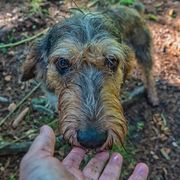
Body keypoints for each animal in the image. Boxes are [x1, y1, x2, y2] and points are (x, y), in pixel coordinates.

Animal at [20, 5, 159, 150]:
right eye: (62, 62)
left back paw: (153, 95)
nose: (92, 139)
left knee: (148, 72)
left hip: (143, 48)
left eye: (112, 61)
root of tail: (132, 8)